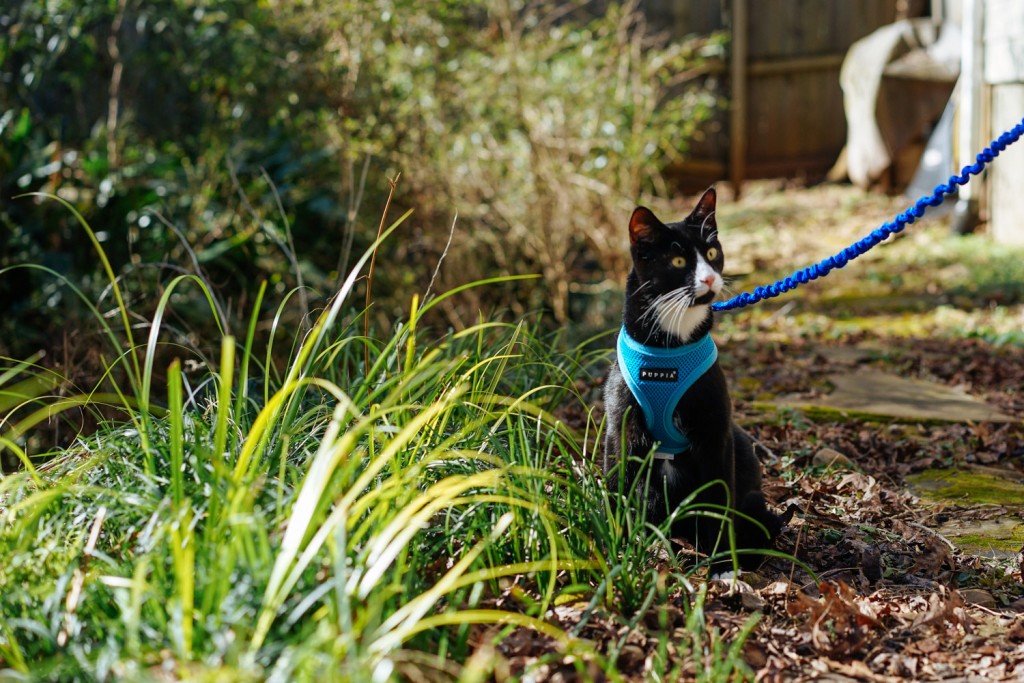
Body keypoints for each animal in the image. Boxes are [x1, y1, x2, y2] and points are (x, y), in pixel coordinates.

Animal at [602, 187, 778, 573]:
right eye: (679, 261)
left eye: (712, 253)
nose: (710, 279)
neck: (668, 348)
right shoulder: (621, 426)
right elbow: (618, 483)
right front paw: (616, 544)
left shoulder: (715, 431)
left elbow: (718, 499)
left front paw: (722, 564)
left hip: (746, 471)